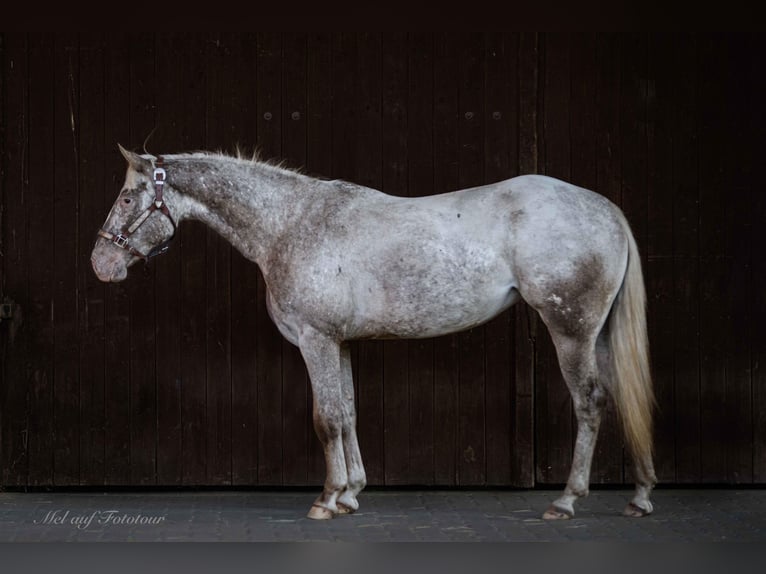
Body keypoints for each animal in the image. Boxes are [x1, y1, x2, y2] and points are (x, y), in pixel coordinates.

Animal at [91, 144, 657, 520]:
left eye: (127, 198)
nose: (101, 263)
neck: (289, 224)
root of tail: (605, 209)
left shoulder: (317, 341)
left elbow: (325, 419)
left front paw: (327, 499)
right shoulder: (337, 344)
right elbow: (347, 414)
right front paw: (351, 493)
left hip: (571, 331)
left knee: (591, 402)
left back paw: (567, 500)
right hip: (599, 335)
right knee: (625, 399)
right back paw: (640, 495)